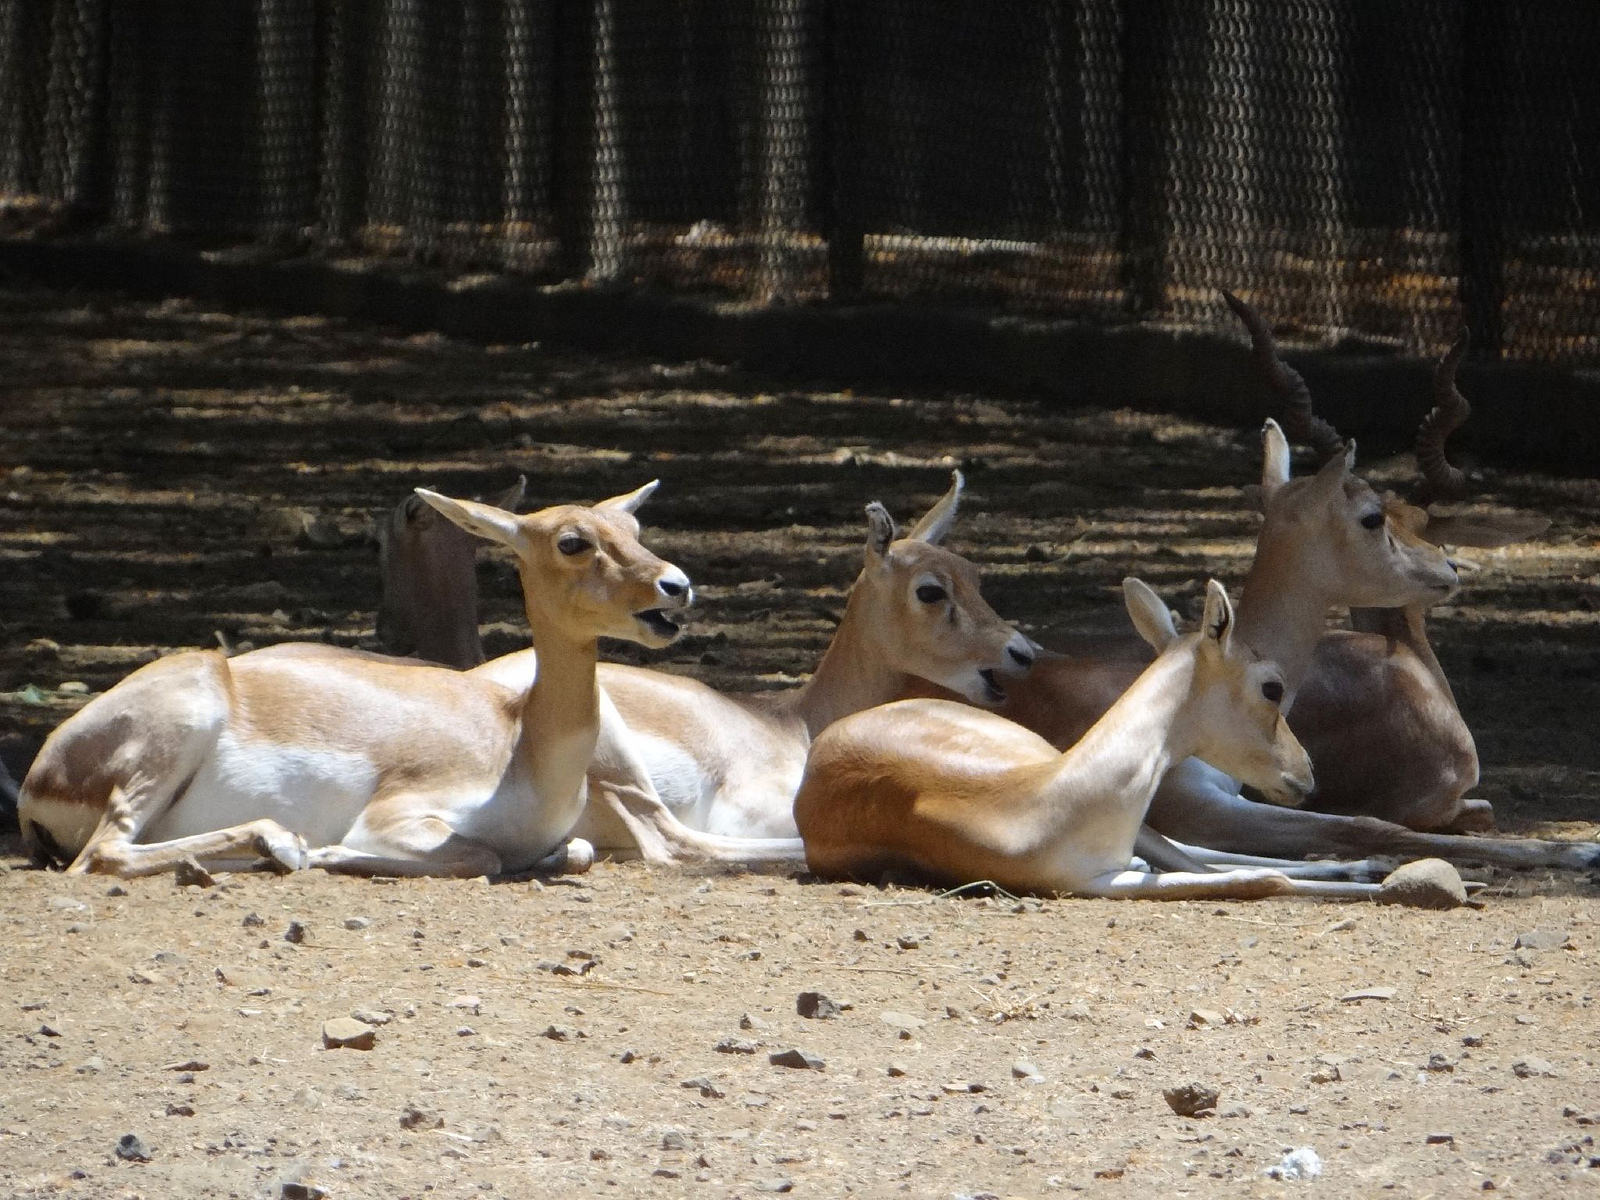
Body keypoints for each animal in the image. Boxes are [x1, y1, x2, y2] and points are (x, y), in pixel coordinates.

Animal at [17, 483, 694, 883]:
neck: (524, 746)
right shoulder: (398, 816)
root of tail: (37, 778)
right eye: (572, 541)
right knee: (103, 853)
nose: (676, 586)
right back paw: (284, 846)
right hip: (174, 731)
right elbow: (481, 854)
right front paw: (330, 852)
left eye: (633, 532)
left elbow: (573, 852)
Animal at [793, 576, 1382, 902]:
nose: (1304, 773)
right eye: (1272, 686)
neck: (1049, 800)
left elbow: (1230, 868)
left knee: (1198, 853)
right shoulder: (1094, 881)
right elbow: (1255, 879)